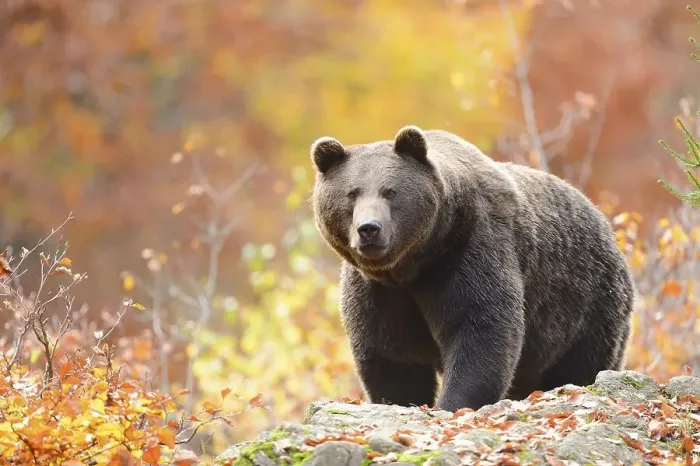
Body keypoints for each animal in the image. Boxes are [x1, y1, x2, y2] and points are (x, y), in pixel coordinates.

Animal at [309, 125, 635, 413]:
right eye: (352, 193)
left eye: (390, 191)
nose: (369, 229)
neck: (413, 265)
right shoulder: (379, 290)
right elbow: (390, 352)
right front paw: (401, 399)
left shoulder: (468, 251)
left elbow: (480, 326)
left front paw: (454, 402)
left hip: (587, 303)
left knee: (583, 363)